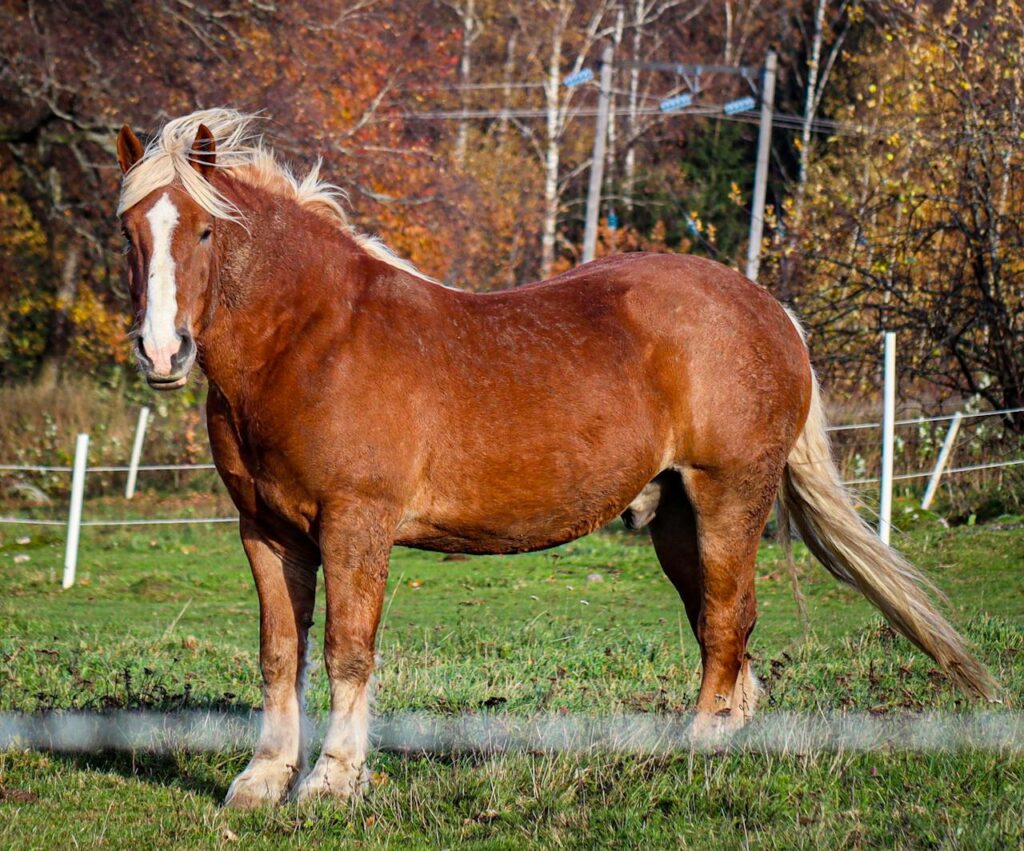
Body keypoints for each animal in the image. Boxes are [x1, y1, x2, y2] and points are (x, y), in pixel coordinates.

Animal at [114, 109, 997, 808]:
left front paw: (333, 779)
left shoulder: (355, 524)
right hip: (675, 519)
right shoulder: (267, 533)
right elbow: (279, 653)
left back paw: (697, 749)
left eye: (203, 230)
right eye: (130, 233)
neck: (312, 341)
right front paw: (263, 778)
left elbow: (346, 650)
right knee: (723, 631)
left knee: (727, 620)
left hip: (729, 498)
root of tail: (767, 310)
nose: (162, 350)